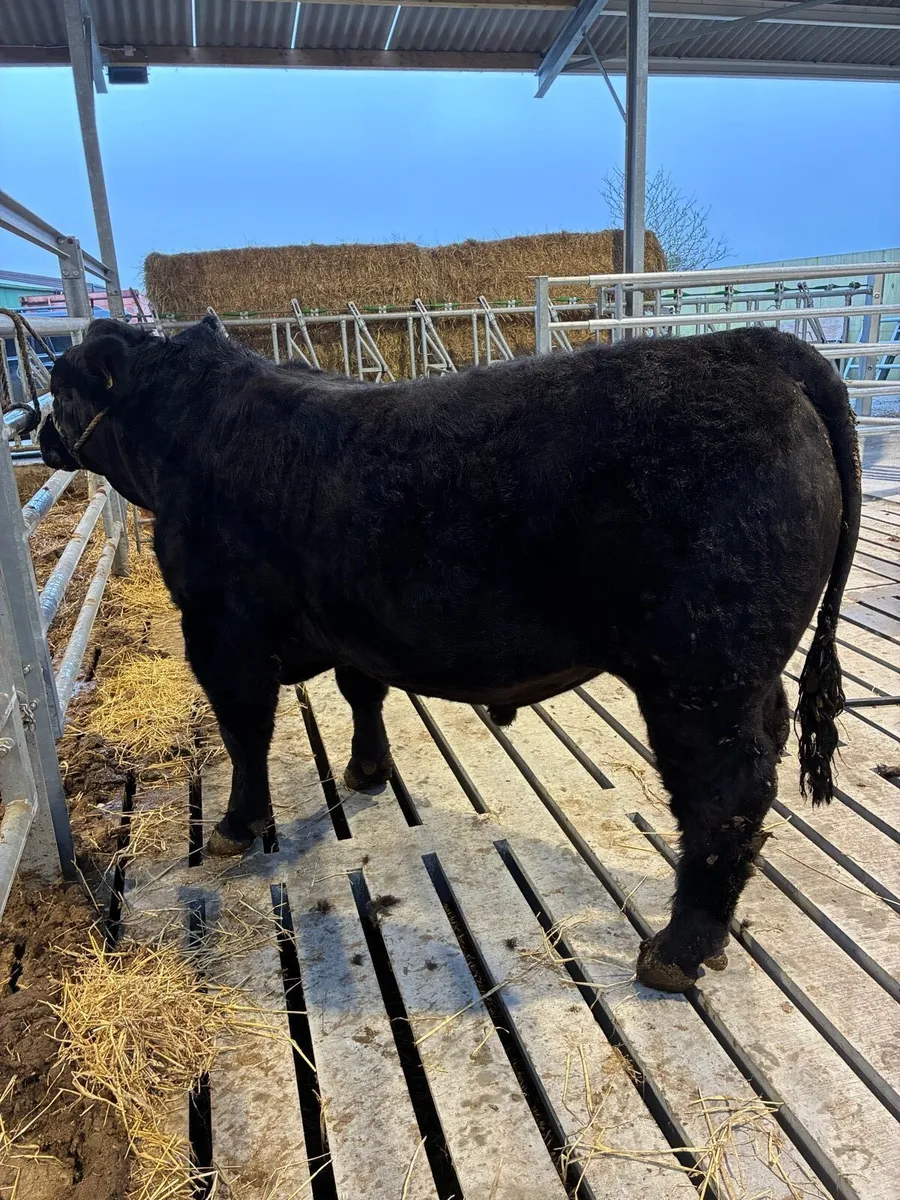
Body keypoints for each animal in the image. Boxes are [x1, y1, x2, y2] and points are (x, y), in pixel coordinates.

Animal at [40, 316, 860, 992]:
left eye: (61, 384)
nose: (37, 428)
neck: (192, 428)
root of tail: (754, 346)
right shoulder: (351, 617)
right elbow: (361, 692)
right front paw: (367, 770)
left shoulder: (219, 627)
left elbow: (245, 731)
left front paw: (236, 827)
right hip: (745, 675)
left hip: (701, 673)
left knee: (725, 796)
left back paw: (676, 951)